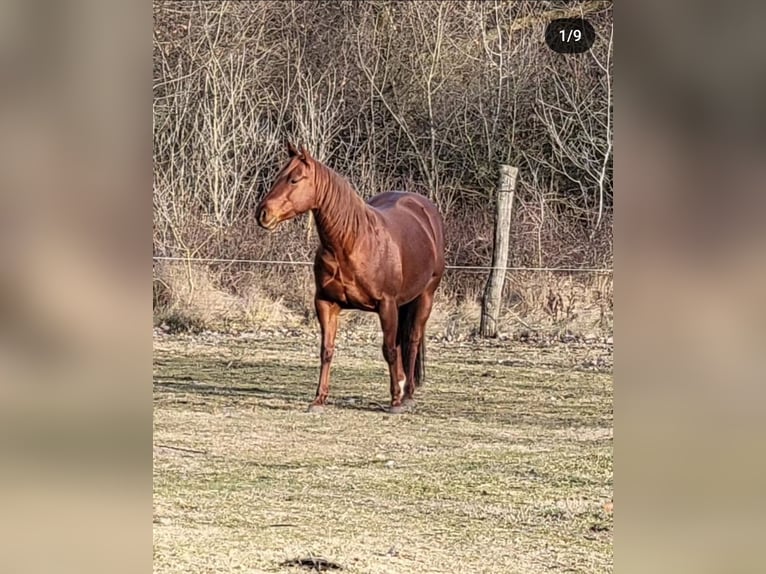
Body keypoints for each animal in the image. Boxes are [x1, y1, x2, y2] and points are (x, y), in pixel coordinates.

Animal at [255, 143, 448, 414]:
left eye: (294, 179)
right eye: (278, 177)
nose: (262, 213)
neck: (351, 244)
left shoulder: (386, 305)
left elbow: (389, 350)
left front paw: (395, 401)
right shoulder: (326, 303)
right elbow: (327, 350)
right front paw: (319, 399)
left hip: (425, 297)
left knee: (411, 340)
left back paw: (407, 394)